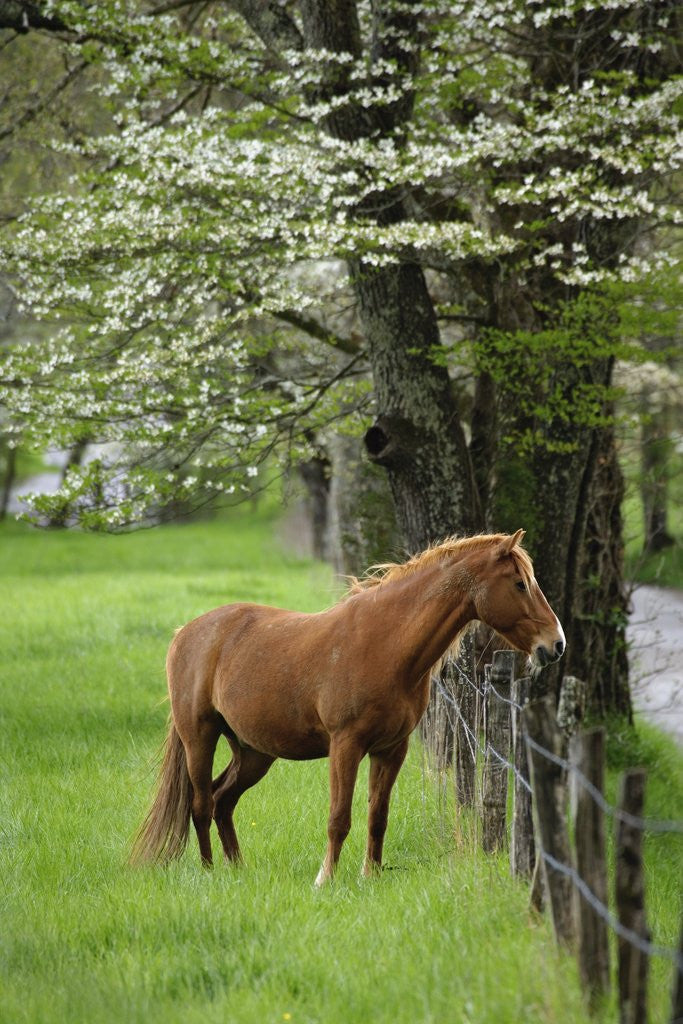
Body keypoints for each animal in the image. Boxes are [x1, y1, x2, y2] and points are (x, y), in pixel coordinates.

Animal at [130, 529, 565, 884]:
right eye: (520, 583)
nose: (556, 644)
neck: (386, 645)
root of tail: (186, 633)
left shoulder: (391, 750)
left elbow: (377, 818)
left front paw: (370, 875)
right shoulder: (345, 746)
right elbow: (339, 818)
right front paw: (326, 879)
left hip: (254, 752)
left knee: (223, 802)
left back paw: (237, 870)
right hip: (199, 738)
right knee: (201, 804)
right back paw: (208, 872)